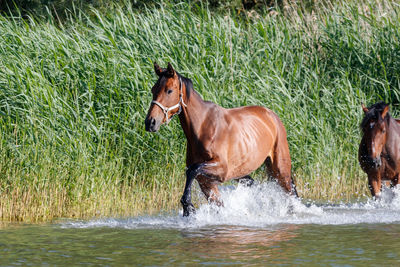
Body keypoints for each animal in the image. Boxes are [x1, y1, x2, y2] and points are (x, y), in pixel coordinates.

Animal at [144, 63, 296, 218]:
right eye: (153, 89)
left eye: (169, 90)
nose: (150, 122)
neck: (203, 128)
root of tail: (272, 116)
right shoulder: (206, 181)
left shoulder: (221, 169)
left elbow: (192, 170)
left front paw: (188, 206)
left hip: (280, 169)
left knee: (290, 191)